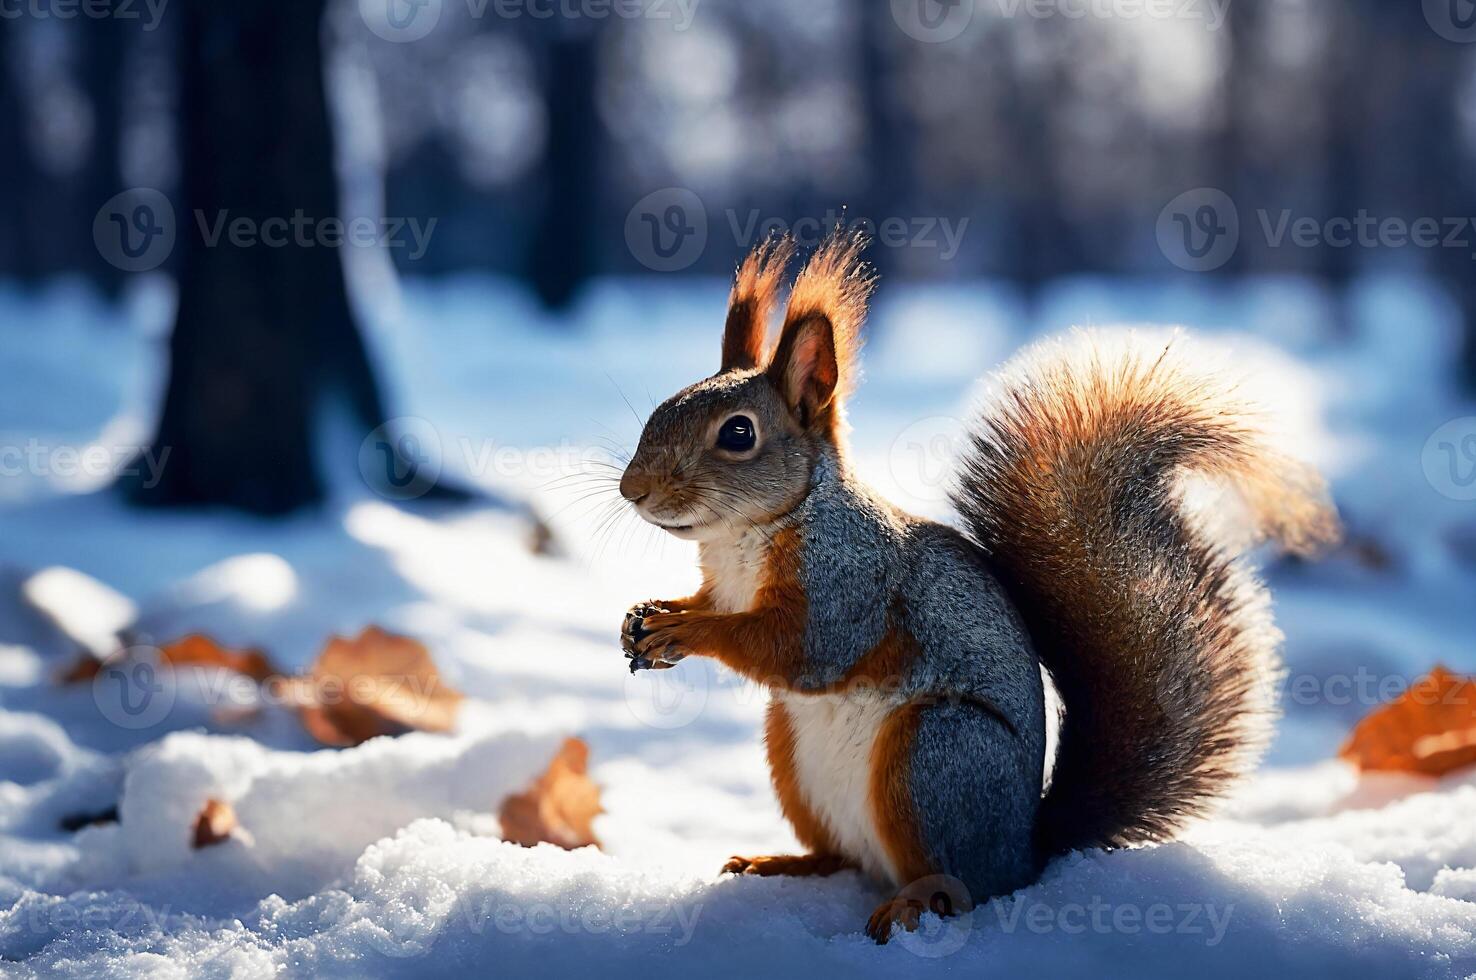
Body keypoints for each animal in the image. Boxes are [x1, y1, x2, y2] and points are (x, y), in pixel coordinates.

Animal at [611, 230, 1340, 944]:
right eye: (661, 408)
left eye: (739, 433)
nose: (631, 489)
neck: (748, 535)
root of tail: (1027, 851)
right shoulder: (729, 586)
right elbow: (717, 608)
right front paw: (649, 614)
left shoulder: (848, 581)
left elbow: (802, 649)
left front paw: (685, 630)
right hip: (792, 753)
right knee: (844, 859)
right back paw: (781, 863)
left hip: (934, 755)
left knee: (967, 887)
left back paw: (914, 904)